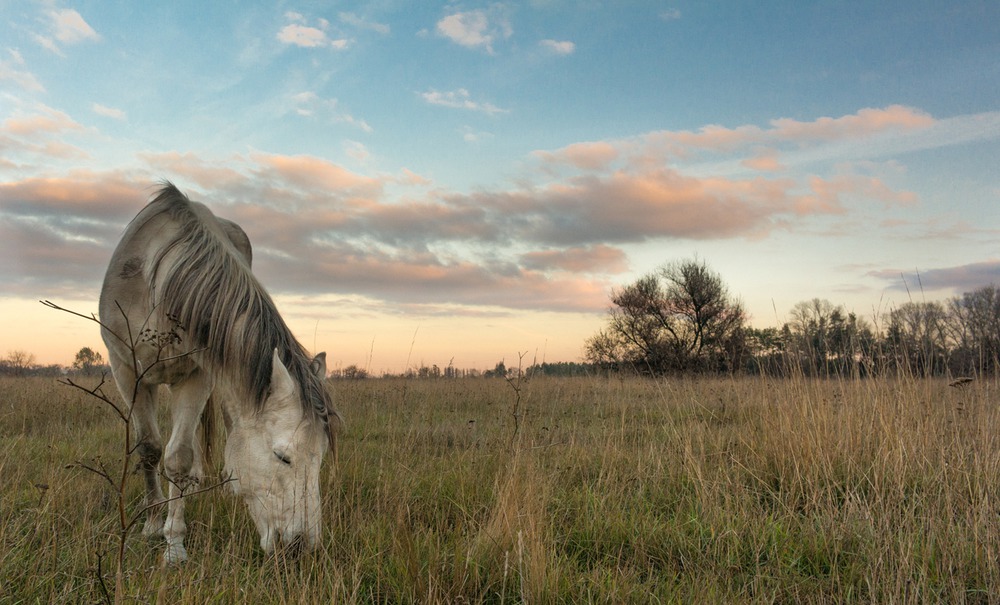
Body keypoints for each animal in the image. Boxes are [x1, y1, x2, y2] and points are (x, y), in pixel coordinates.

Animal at [99, 183, 338, 560]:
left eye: (322, 457)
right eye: (282, 457)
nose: (300, 548)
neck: (158, 287)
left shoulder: (197, 376)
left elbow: (179, 458)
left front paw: (174, 543)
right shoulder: (126, 372)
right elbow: (150, 449)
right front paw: (154, 526)